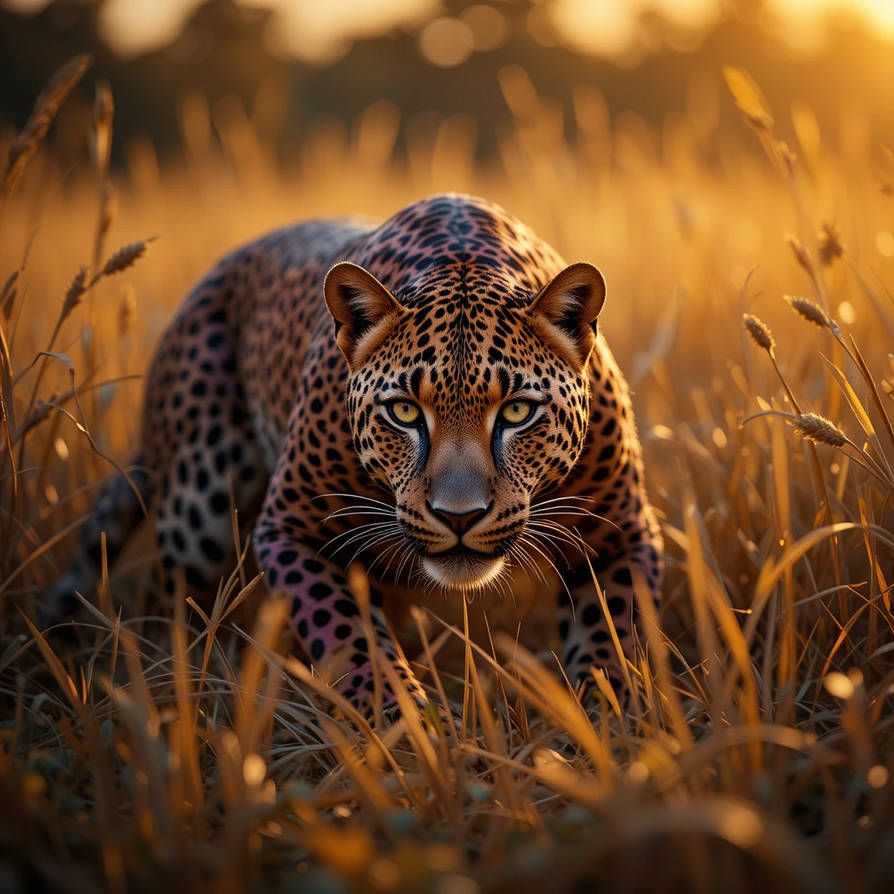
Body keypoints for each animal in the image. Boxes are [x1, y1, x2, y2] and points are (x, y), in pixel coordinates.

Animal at [46, 193, 663, 713]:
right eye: (406, 412)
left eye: (515, 412)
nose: (459, 517)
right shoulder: (290, 529)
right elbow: (351, 637)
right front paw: (413, 736)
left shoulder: (623, 533)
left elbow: (612, 640)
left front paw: (611, 731)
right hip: (196, 517)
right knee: (165, 603)